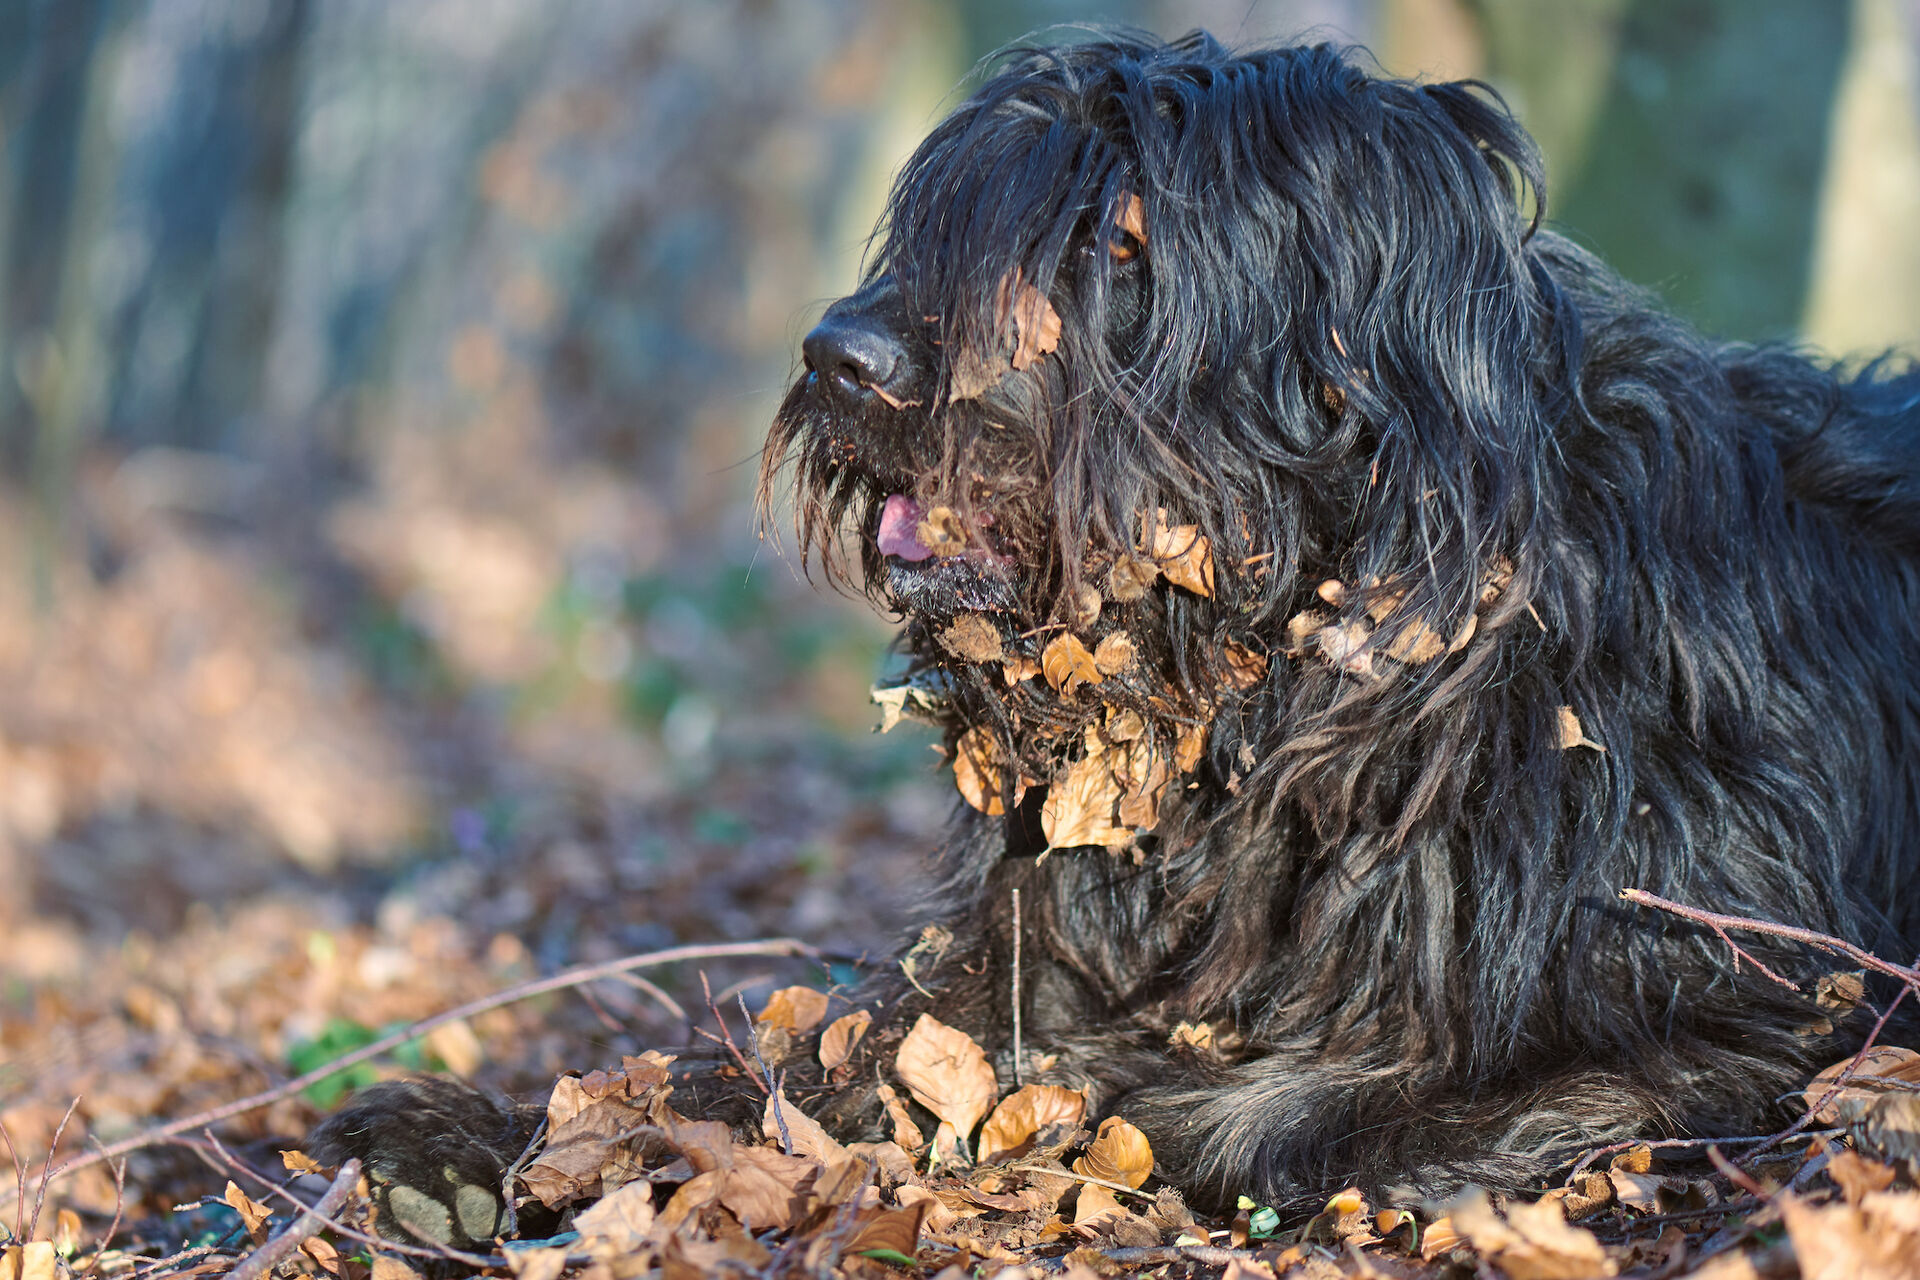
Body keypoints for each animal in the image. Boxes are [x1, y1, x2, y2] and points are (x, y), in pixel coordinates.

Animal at [322, 29, 1920, 1243]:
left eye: (1120, 242)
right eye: (953, 220)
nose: (841, 357)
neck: (1284, 698)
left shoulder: (1756, 992)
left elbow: (1307, 1110)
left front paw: (1179, 1109)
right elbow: (828, 1051)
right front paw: (495, 1129)